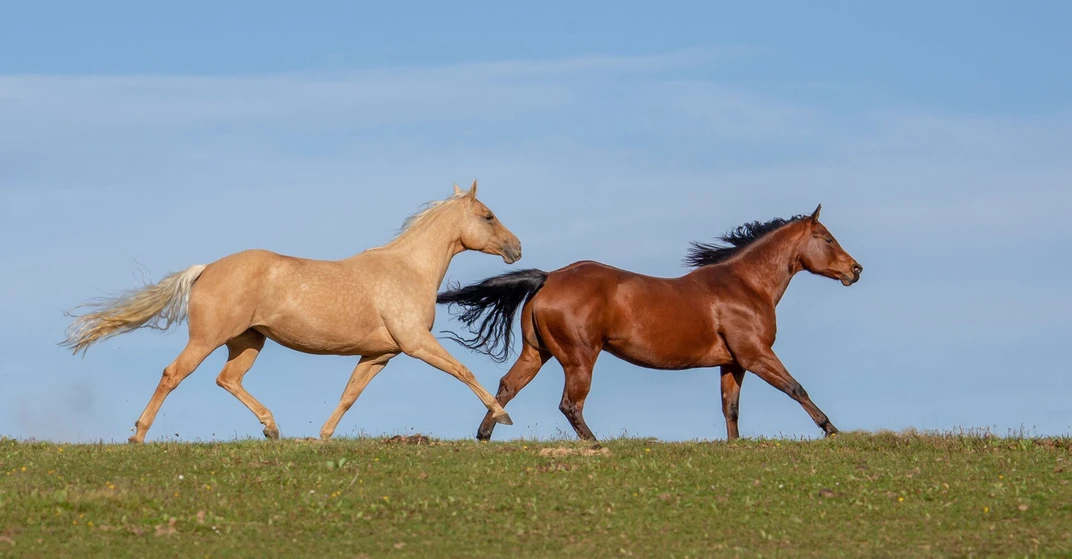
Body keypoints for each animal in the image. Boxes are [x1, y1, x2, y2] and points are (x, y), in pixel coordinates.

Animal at [62, 181, 522, 443]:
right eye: (488, 216)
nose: (516, 248)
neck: (407, 270)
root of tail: (205, 269)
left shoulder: (379, 354)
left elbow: (350, 394)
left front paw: (323, 437)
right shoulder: (416, 343)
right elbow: (464, 371)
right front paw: (501, 417)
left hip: (248, 341)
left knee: (227, 379)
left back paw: (272, 428)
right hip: (207, 339)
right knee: (173, 374)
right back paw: (138, 435)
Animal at [437, 204, 863, 442]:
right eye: (826, 238)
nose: (855, 270)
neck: (745, 285)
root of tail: (550, 277)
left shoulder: (733, 363)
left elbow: (730, 408)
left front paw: (735, 444)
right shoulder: (756, 354)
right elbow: (795, 387)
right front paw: (831, 430)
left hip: (536, 352)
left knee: (507, 386)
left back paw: (484, 435)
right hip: (579, 358)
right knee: (570, 404)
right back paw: (595, 442)